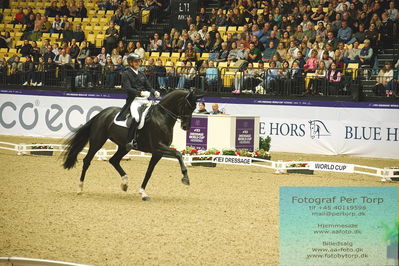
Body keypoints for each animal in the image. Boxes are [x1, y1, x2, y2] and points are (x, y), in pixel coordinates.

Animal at [63, 89, 203, 200]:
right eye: (187, 106)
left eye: (194, 108)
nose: (186, 127)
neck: (161, 117)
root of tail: (101, 114)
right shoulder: (158, 146)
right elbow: (178, 154)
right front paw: (185, 178)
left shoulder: (157, 152)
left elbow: (149, 172)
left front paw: (143, 193)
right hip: (98, 141)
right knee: (87, 160)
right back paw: (80, 188)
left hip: (123, 146)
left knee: (114, 160)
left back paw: (125, 183)